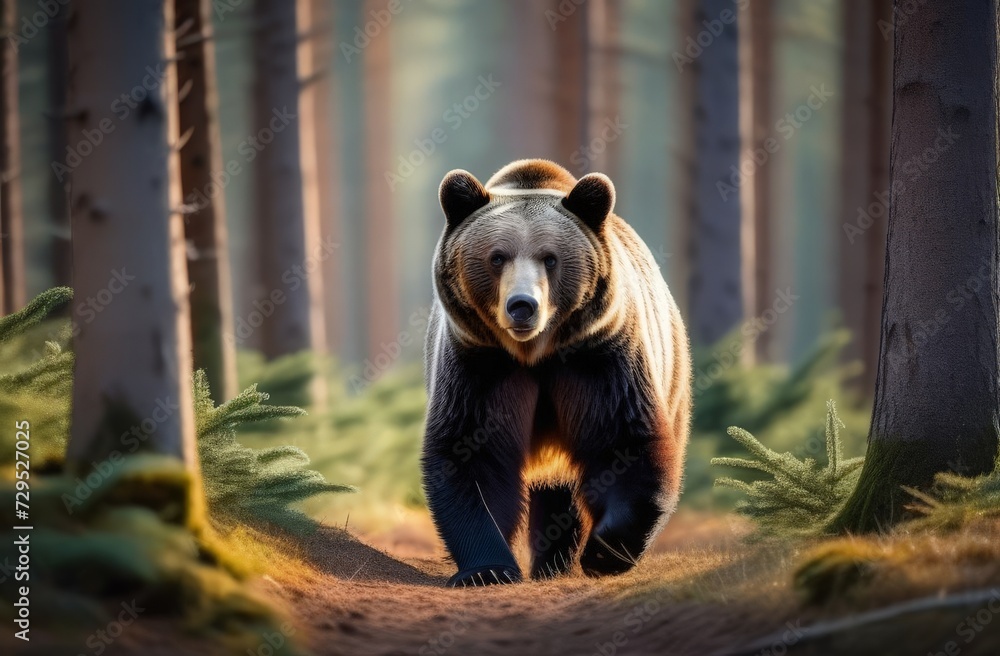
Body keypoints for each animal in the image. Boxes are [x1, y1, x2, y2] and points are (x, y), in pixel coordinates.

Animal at [421, 159, 691, 587]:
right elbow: (472, 451)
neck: (536, 354)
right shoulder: (478, 364)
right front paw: (487, 570)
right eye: (497, 257)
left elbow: (625, 443)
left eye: (550, 258)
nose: (522, 306)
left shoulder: (600, 357)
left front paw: (604, 553)